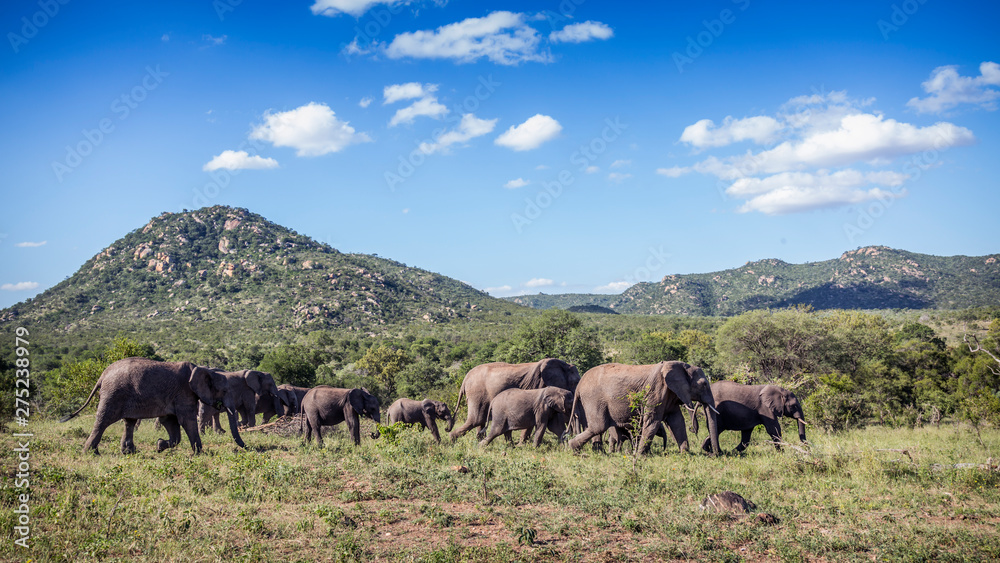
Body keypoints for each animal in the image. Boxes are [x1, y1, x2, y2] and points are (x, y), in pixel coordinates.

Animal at [59, 357, 238, 454]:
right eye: (223, 390)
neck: (202, 369)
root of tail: (103, 375)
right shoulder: (184, 392)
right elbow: (186, 420)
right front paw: (200, 453)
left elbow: (170, 422)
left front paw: (159, 445)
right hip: (113, 394)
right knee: (103, 421)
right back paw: (91, 454)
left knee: (128, 422)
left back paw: (129, 452)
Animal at [449, 358, 581, 442]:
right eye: (575, 383)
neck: (563, 364)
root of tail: (465, 378)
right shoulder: (539, 385)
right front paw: (522, 445)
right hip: (477, 394)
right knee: (475, 420)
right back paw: (452, 439)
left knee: (479, 421)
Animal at [567, 361, 720, 455]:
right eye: (704, 384)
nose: (715, 454)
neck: (681, 365)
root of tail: (579, 385)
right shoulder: (656, 392)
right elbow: (652, 422)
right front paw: (640, 455)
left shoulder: (669, 394)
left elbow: (677, 422)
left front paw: (685, 454)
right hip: (594, 398)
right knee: (598, 426)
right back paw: (572, 448)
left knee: (596, 427)